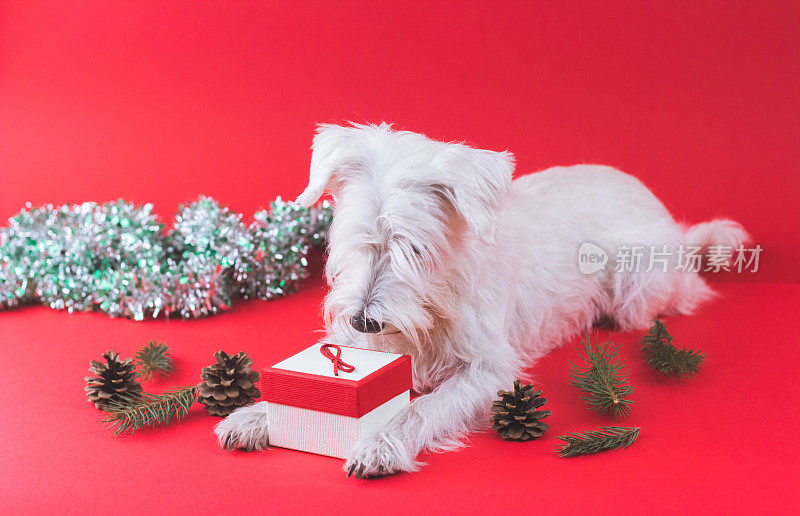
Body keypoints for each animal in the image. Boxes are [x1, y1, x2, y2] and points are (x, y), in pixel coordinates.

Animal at [214, 123, 752, 478]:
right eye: (355, 239)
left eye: (414, 248)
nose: (365, 321)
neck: (439, 299)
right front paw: (254, 416)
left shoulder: (489, 370)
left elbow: (424, 408)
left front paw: (381, 443)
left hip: (637, 290)